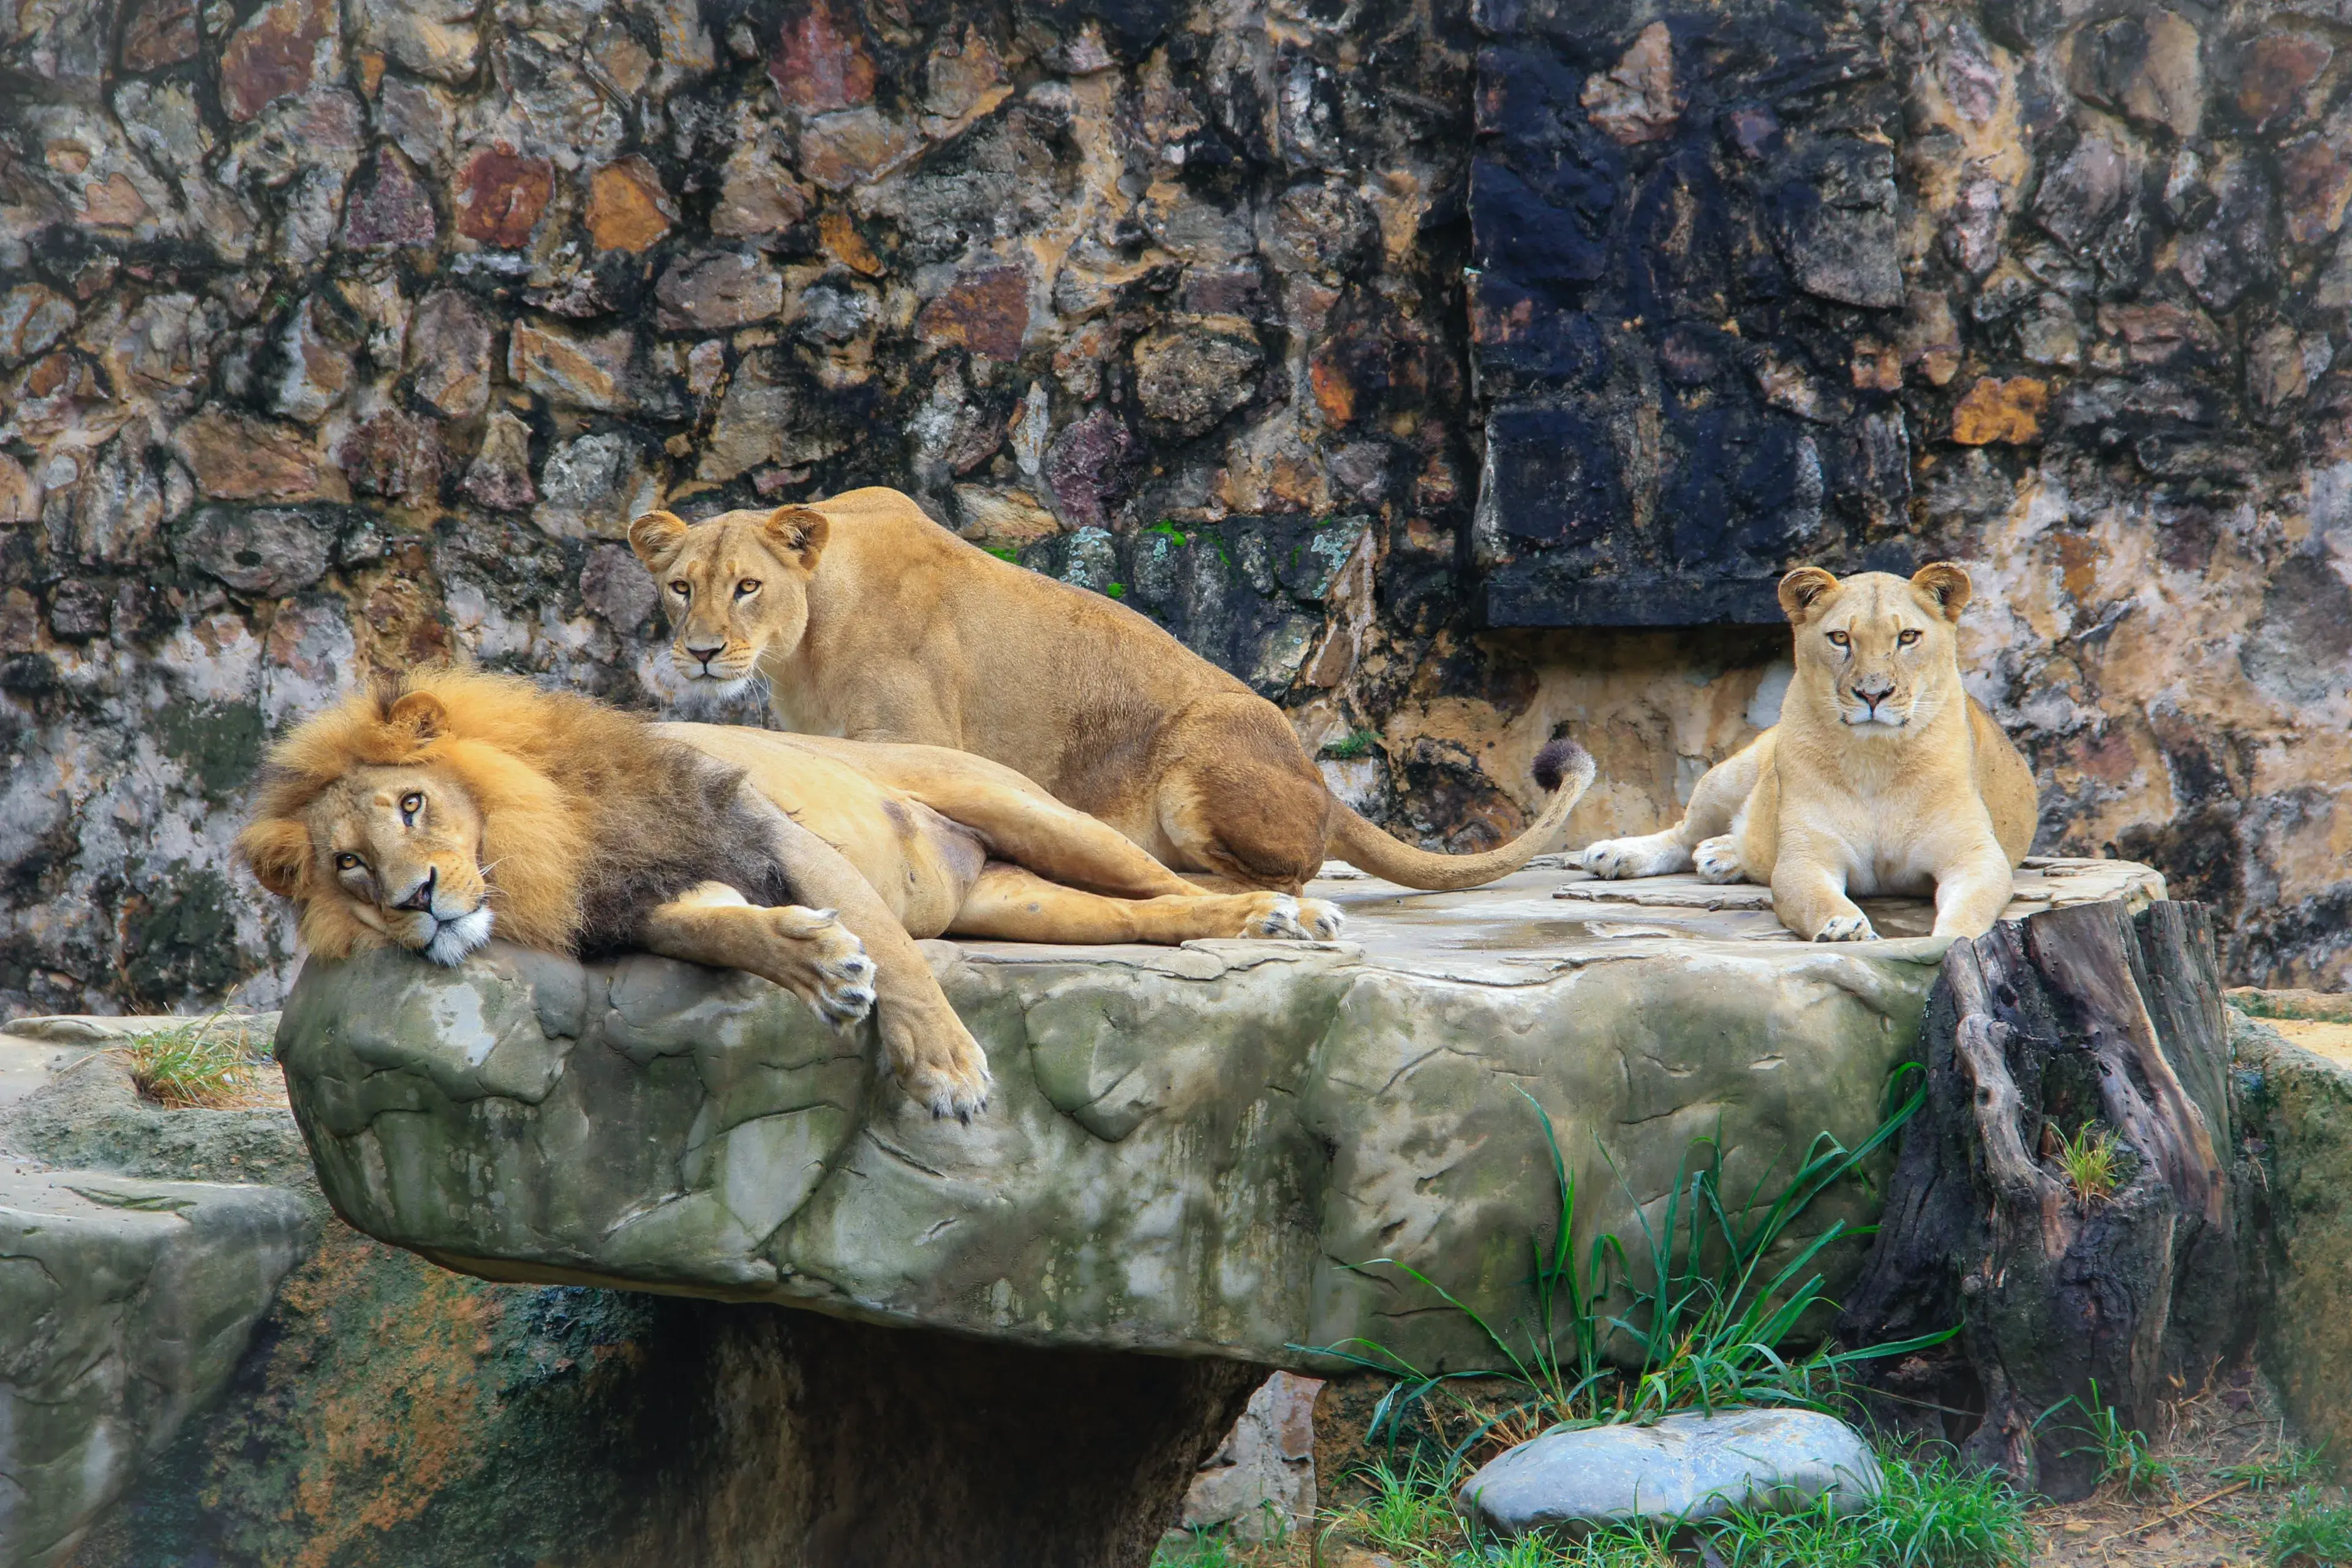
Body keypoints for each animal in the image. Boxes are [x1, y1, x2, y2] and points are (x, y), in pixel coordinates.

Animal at [236, 669, 1358, 1121]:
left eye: (414, 803)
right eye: (348, 865)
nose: (417, 897)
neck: (545, 842)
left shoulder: (770, 832)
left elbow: (895, 955)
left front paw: (945, 1070)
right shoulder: (655, 898)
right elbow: (731, 937)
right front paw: (814, 964)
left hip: (1029, 811)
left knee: (1166, 876)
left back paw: (1288, 912)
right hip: (1026, 902)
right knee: (1152, 913)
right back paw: (1248, 919)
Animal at [626, 489, 1595, 894]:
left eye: (747, 586)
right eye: (681, 588)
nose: (702, 654)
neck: (805, 640)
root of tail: (1321, 781)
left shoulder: (913, 736)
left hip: (1199, 760)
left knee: (1291, 876)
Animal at [1572, 564, 2037, 943]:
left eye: (1908, 637)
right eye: (1840, 638)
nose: (1873, 694)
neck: (1875, 760)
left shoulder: (1974, 853)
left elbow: (1972, 908)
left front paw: (1948, 941)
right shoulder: (1807, 857)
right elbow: (1819, 898)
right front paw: (1845, 929)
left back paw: (1720, 855)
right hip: (1726, 778)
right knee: (1681, 834)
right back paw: (1615, 855)